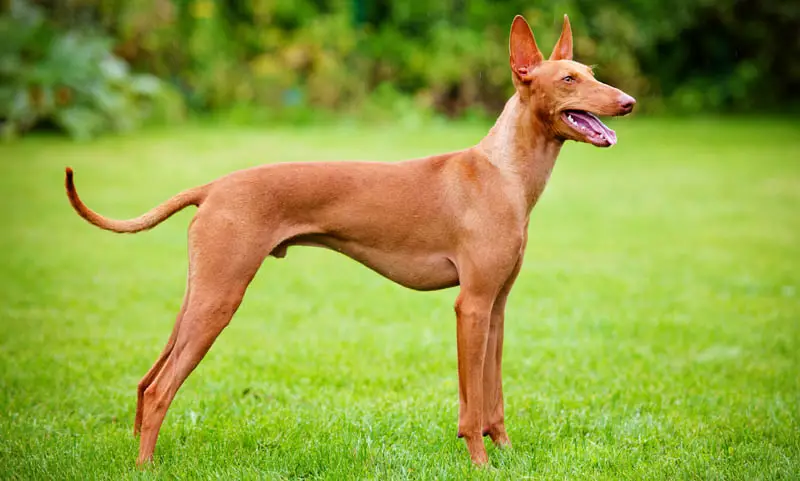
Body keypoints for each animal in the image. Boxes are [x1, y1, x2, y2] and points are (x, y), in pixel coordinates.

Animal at [62, 15, 636, 464]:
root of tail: (214, 186)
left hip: (200, 295)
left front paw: (508, 456)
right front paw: (480, 462)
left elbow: (492, 398)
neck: (504, 172)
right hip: (219, 298)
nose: (628, 102)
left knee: (145, 381)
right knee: (161, 387)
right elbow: (472, 404)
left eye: (593, 74)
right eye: (569, 78)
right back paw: (145, 466)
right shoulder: (470, 305)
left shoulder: (496, 306)